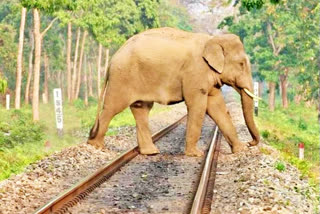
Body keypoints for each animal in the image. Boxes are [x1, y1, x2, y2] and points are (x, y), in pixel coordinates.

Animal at [87, 27, 260, 156]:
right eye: (241, 64)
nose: (250, 143)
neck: (212, 39)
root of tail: (113, 58)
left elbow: (217, 107)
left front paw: (240, 150)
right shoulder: (195, 72)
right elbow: (197, 106)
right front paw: (195, 154)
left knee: (141, 109)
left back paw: (151, 152)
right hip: (122, 78)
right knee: (112, 108)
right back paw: (95, 146)